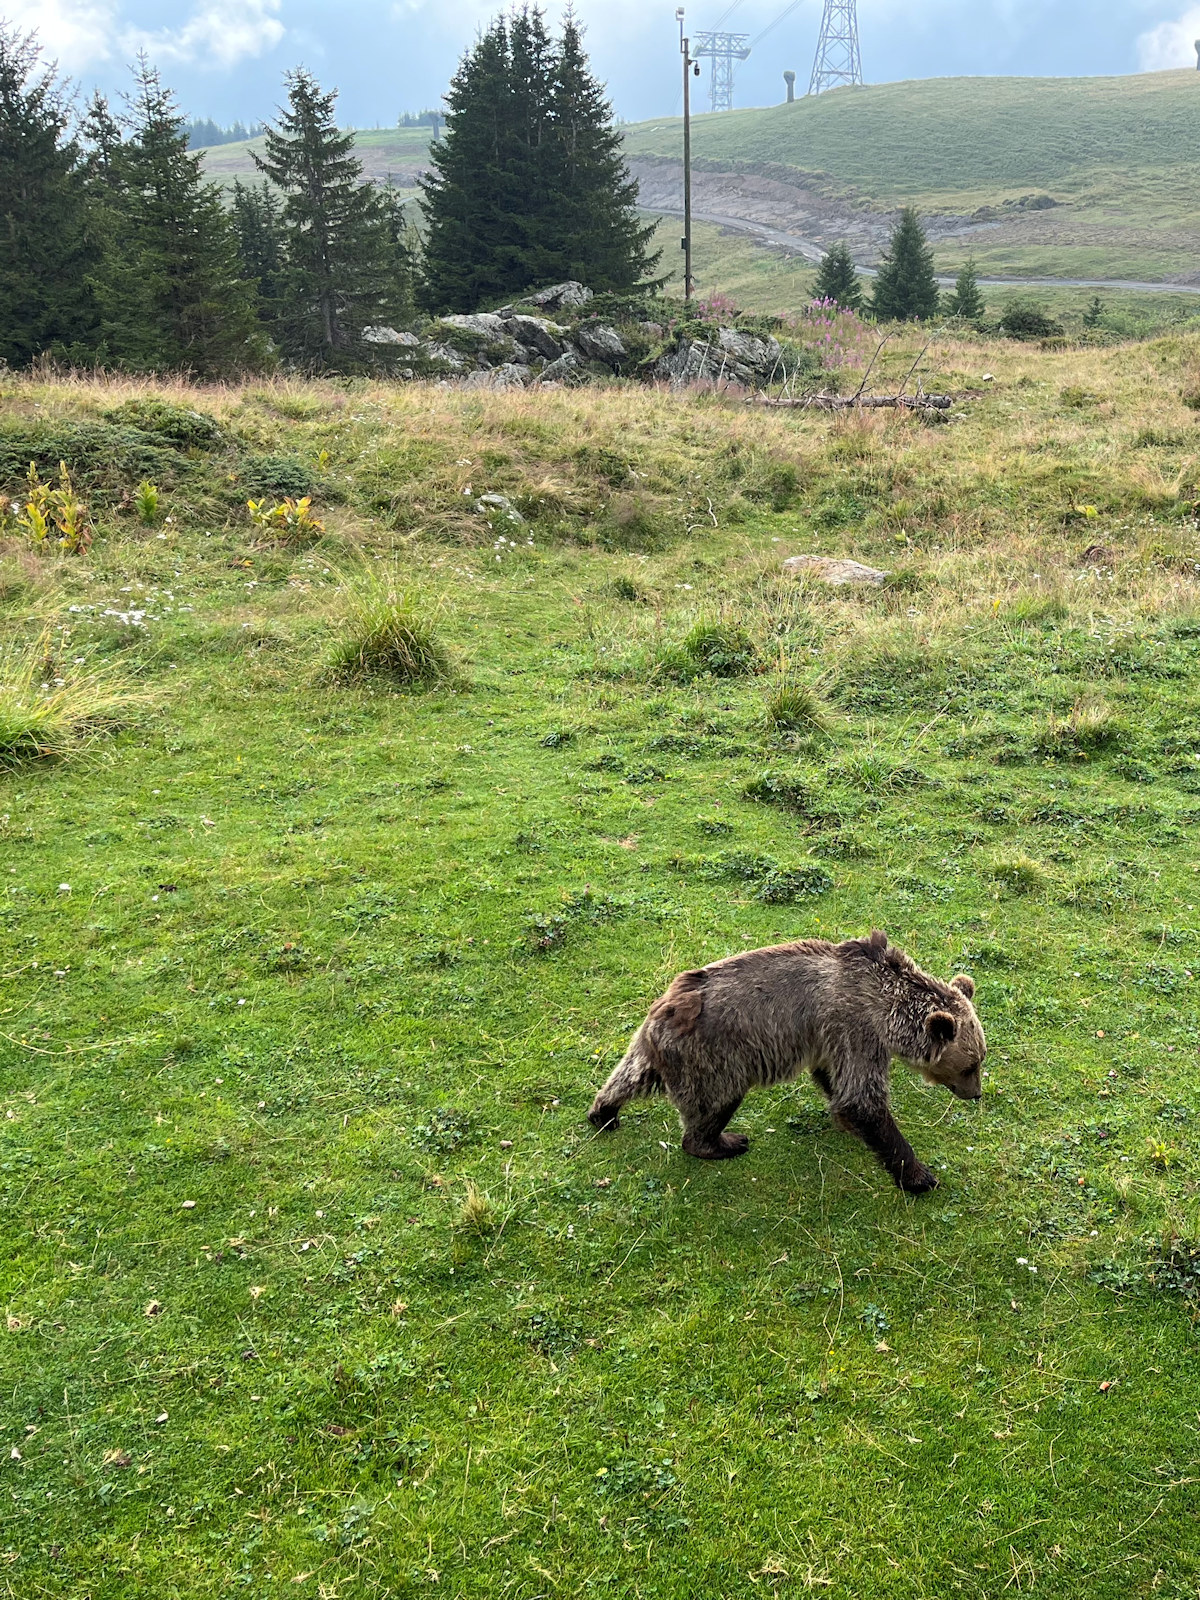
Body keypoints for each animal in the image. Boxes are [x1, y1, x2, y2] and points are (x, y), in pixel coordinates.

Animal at [588, 930, 985, 1194]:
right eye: (970, 1066)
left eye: (980, 1059)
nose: (976, 1093)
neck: (887, 1006)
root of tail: (663, 1011)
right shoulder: (857, 1029)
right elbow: (863, 1098)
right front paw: (919, 1176)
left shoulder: (829, 1038)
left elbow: (836, 1082)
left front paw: (845, 1121)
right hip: (715, 1057)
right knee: (713, 1103)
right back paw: (724, 1142)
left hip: (655, 1048)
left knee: (628, 1076)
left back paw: (604, 1112)